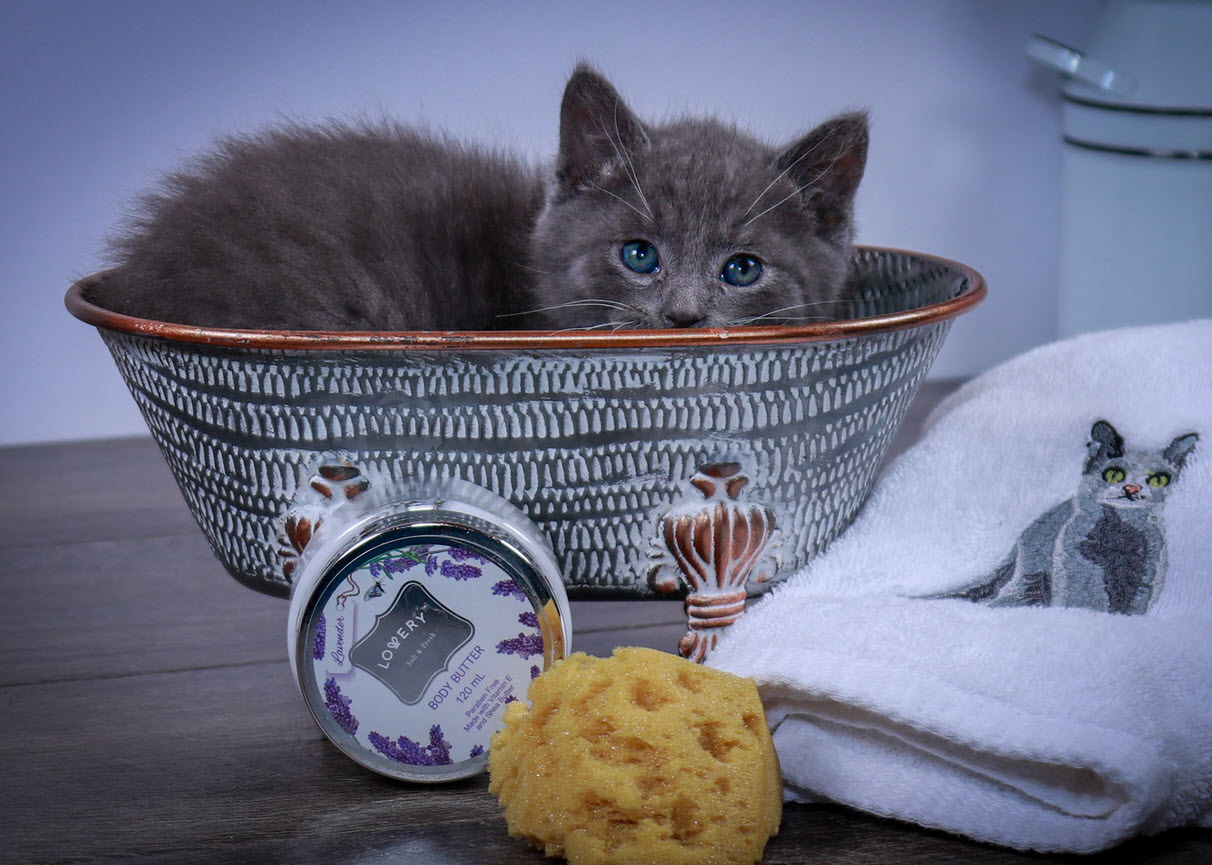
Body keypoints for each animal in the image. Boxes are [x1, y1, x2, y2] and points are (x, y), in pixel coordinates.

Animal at [930, 419, 1197, 613]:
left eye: (1159, 479)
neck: (1119, 535)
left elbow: (1134, 603)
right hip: (1032, 576)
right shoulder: (1078, 562)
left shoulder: (1145, 570)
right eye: (1114, 474)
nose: (1132, 489)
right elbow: (1087, 597)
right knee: (1004, 601)